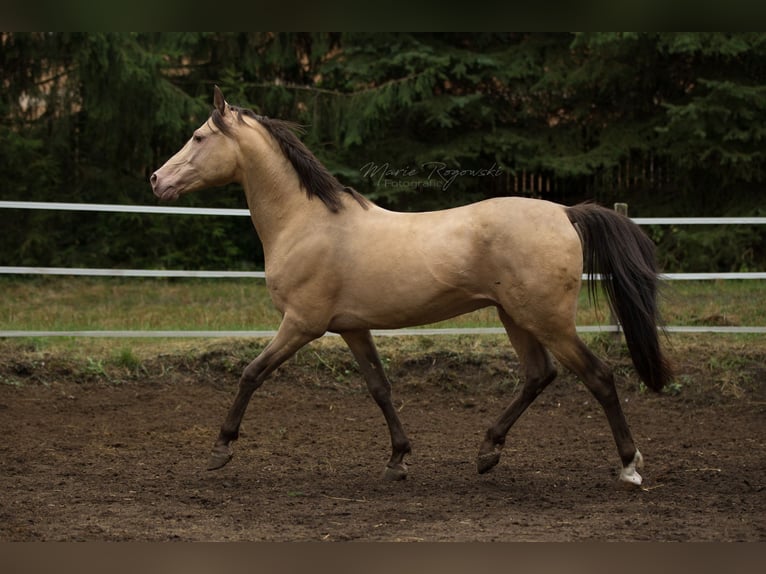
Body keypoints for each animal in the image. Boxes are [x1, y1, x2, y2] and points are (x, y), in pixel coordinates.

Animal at [151, 86, 672, 486]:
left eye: (198, 136)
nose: (156, 180)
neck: (306, 222)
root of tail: (565, 212)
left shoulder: (301, 325)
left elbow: (251, 373)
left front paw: (220, 449)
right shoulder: (352, 328)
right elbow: (380, 388)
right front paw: (398, 459)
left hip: (548, 320)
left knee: (598, 376)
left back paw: (629, 466)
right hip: (515, 316)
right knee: (538, 375)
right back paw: (487, 453)